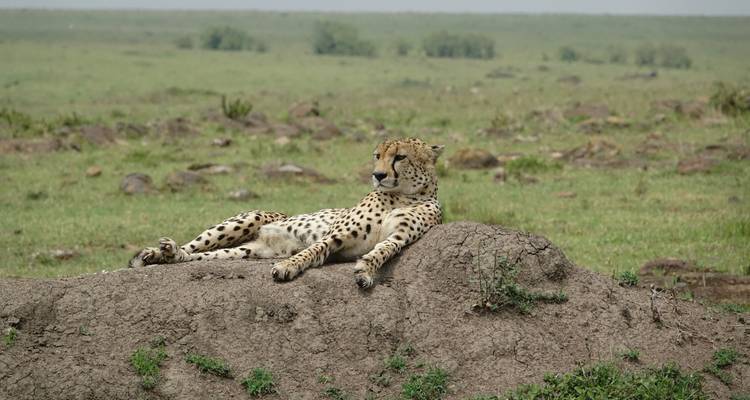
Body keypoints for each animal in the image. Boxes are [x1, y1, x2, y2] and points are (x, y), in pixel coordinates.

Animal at [128, 137, 444, 288]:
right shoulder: (338, 234)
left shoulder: (398, 237)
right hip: (247, 220)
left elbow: (381, 251)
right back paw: (156, 253)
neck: (402, 194)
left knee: (202, 256)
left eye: (400, 157)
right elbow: (313, 249)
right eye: (377, 156)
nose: (378, 175)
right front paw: (288, 267)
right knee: (193, 245)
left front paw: (365, 270)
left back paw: (170, 254)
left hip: (246, 251)